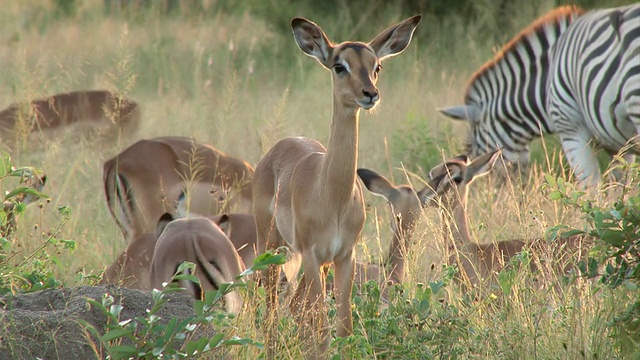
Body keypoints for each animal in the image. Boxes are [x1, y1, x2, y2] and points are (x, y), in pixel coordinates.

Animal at [252, 15, 422, 356]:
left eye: (376, 65)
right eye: (339, 65)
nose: (370, 93)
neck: (332, 195)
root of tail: (278, 147)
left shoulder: (344, 256)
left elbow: (343, 327)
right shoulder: (312, 254)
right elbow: (321, 328)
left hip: (311, 263)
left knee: (296, 306)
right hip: (273, 249)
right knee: (273, 309)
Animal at [440, 4, 640, 188]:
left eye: (473, 150)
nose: (488, 196)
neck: (546, 83)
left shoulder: (571, 131)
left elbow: (590, 188)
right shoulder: (618, 145)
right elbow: (618, 188)